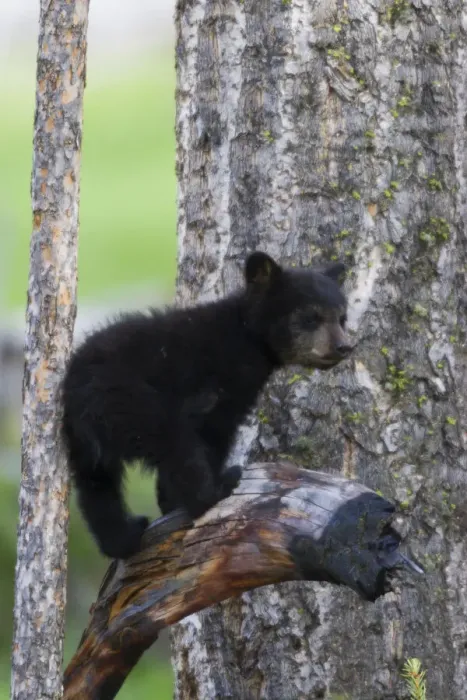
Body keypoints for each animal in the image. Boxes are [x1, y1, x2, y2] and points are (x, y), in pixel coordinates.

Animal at [61, 251, 353, 559]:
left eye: (342, 318)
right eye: (311, 317)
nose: (344, 347)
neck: (248, 336)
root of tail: (80, 391)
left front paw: (168, 502)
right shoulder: (218, 384)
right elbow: (214, 432)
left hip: (82, 439)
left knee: (96, 486)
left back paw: (123, 537)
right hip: (133, 402)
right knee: (173, 441)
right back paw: (216, 490)